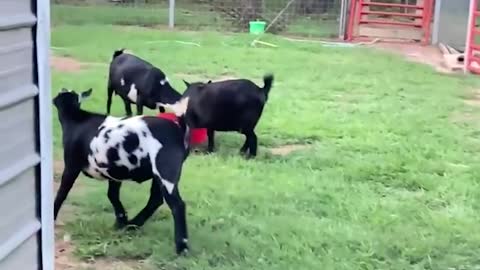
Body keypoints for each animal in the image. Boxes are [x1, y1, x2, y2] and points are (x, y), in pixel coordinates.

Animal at [54, 88, 191, 255]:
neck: (76, 118)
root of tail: (178, 129)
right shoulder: (114, 173)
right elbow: (112, 195)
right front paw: (120, 220)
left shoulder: (71, 166)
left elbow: (62, 193)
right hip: (158, 174)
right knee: (156, 199)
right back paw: (133, 224)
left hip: (165, 170)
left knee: (177, 205)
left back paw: (181, 246)